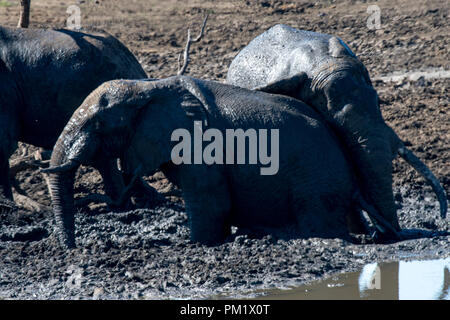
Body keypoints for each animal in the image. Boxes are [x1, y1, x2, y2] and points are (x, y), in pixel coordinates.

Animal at [43, 74, 390, 248]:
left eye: (99, 124)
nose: (72, 249)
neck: (148, 87)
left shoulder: (200, 144)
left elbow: (212, 203)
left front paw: (195, 245)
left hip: (316, 181)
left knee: (318, 222)